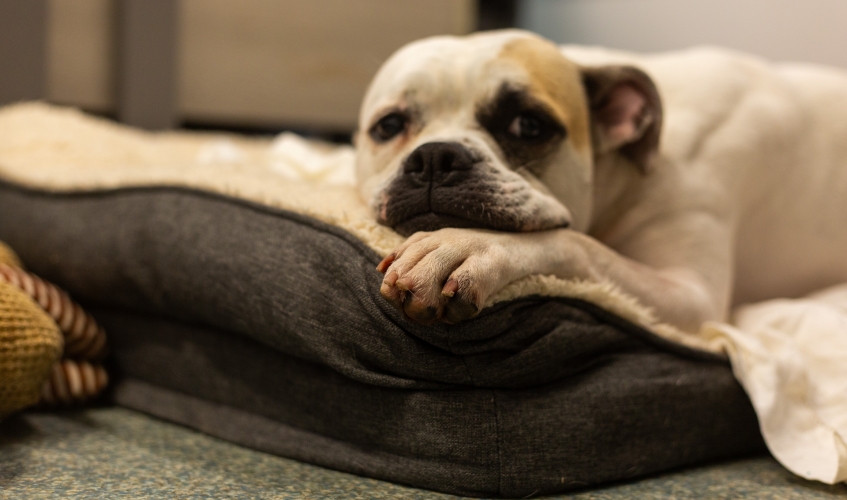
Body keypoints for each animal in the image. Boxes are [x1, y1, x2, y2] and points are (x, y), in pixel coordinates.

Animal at [354, 29, 847, 330]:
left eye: (529, 126)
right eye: (389, 126)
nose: (436, 157)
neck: (623, 170)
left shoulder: (690, 296)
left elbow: (577, 244)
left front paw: (464, 246)